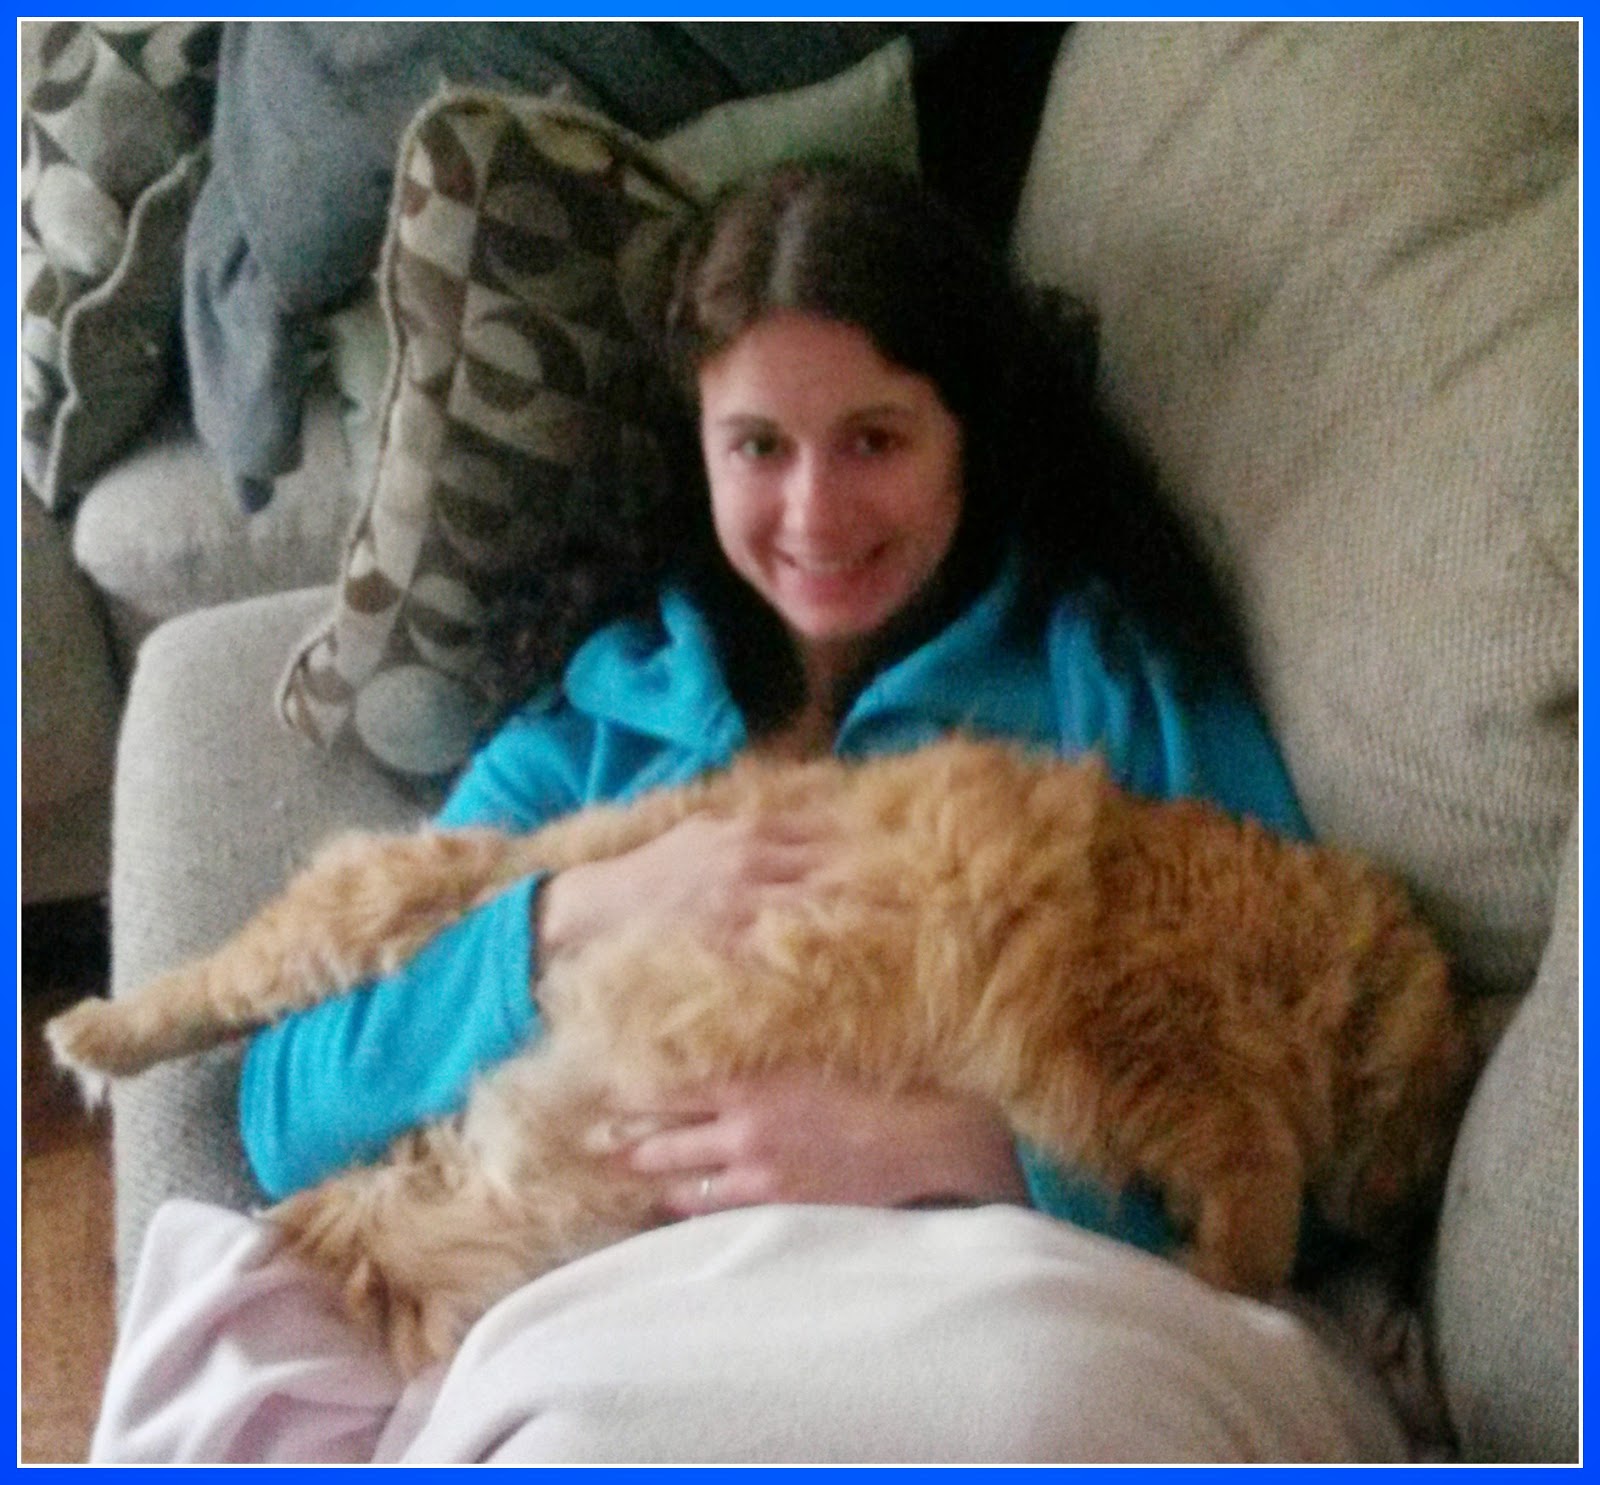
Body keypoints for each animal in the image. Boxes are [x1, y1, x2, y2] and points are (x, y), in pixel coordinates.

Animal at [47, 737, 1474, 1374]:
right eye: (1442, 1113)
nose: (1409, 1218)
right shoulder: (1135, 1030)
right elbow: (1250, 1183)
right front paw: (1229, 1265)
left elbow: (1249, 1174)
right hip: (378, 915)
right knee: (233, 986)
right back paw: (91, 1032)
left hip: (522, 1197)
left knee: (369, 1220)